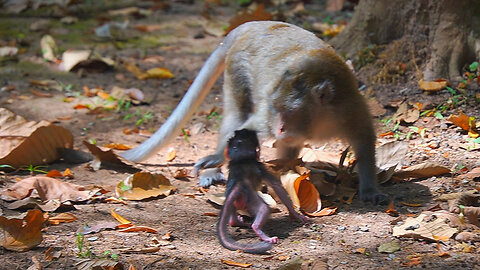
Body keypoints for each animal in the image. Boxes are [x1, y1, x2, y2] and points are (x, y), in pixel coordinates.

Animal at [121, 20, 390, 205]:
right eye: (276, 109)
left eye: (289, 111)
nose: (279, 128)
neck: (322, 121)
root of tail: (252, 24)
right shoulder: (267, 117)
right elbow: (244, 128)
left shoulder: (350, 107)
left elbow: (364, 141)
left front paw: (370, 190)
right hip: (236, 68)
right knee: (236, 115)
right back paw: (215, 167)